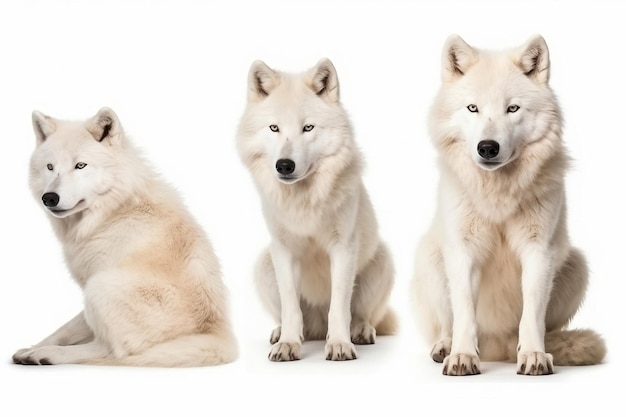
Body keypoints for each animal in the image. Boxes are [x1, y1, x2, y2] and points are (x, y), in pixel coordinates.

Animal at [14, 108, 239, 368]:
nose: (49, 198)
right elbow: (63, 330)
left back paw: (49, 355)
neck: (114, 210)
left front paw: (39, 350)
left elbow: (78, 332)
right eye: (50, 167)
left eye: (80, 165)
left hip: (99, 287)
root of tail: (217, 334)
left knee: (110, 351)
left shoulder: (92, 279)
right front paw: (30, 347)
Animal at [236, 58, 392, 360]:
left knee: (360, 315)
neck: (304, 201)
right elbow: (290, 305)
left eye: (307, 128)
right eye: (274, 128)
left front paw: (340, 344)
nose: (284, 165)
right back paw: (282, 334)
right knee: (293, 318)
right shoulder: (284, 250)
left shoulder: (343, 248)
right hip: (264, 264)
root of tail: (317, 329)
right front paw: (288, 344)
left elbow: (339, 306)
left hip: (382, 261)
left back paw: (359, 332)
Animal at [410, 35, 604, 374]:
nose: (487, 147)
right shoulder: (463, 250)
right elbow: (464, 313)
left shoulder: (538, 250)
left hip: (577, 265)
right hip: (430, 256)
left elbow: (532, 315)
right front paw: (462, 356)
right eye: (473, 108)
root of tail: (496, 347)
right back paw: (445, 347)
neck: (497, 194)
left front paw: (534, 355)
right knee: (446, 324)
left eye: (512, 108)